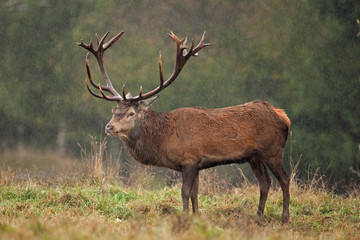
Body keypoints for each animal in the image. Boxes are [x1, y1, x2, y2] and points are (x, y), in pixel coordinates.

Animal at [77, 31, 292, 224]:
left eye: (131, 113)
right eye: (114, 110)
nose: (109, 127)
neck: (164, 138)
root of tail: (284, 117)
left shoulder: (189, 159)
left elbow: (185, 193)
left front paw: (185, 218)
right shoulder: (196, 164)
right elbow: (195, 194)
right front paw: (196, 218)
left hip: (272, 150)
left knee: (284, 178)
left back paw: (284, 218)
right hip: (254, 156)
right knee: (265, 183)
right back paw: (258, 218)